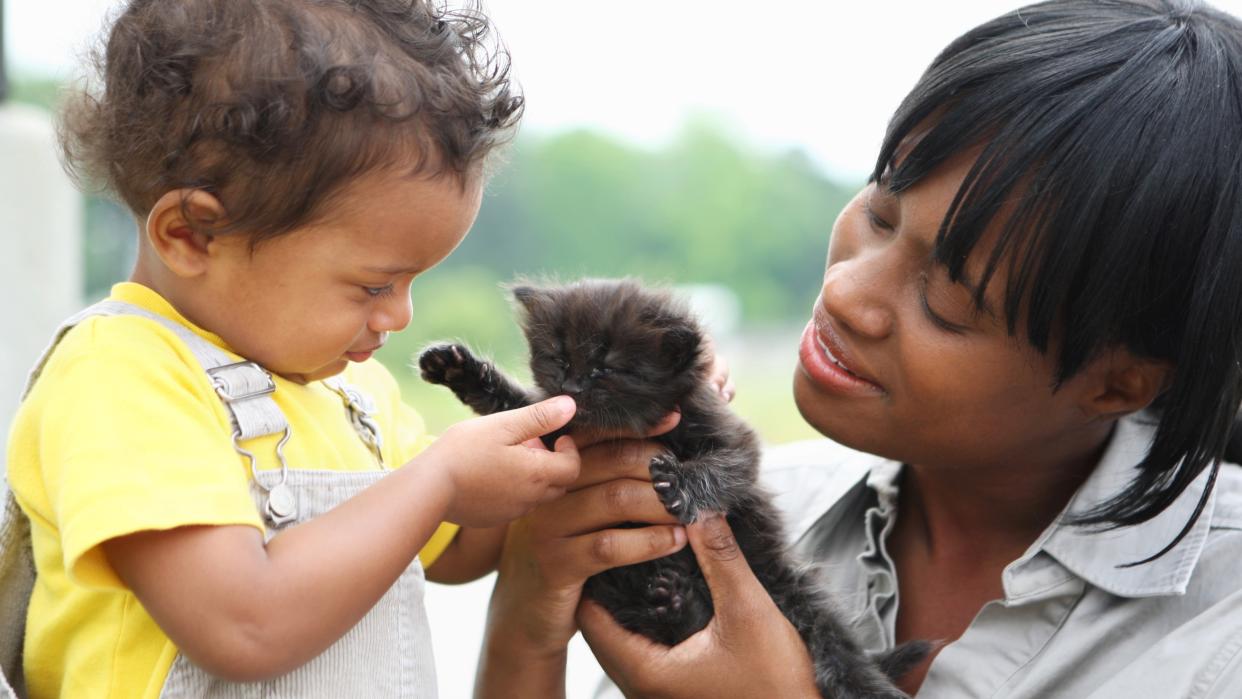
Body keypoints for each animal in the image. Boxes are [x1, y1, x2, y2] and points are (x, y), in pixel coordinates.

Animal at [422, 280, 929, 699]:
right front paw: (461, 370)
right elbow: (516, 408)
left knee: (834, 643)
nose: (572, 384)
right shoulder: (559, 430)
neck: (623, 428)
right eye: (559, 359)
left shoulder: (731, 436)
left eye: (605, 368)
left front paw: (682, 484)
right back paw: (672, 603)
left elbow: (728, 463)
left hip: (791, 584)